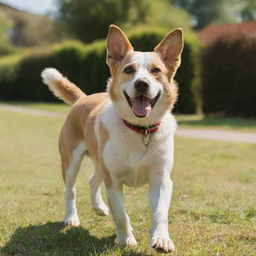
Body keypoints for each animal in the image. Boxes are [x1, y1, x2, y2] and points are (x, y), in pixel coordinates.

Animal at [41, 25, 183, 253]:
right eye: (129, 70)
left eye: (155, 70)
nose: (142, 84)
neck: (140, 130)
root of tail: (83, 99)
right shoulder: (113, 180)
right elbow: (121, 215)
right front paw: (125, 239)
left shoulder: (161, 179)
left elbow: (160, 212)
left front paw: (161, 239)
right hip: (71, 162)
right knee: (70, 190)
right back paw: (71, 217)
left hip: (100, 162)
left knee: (92, 181)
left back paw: (99, 207)